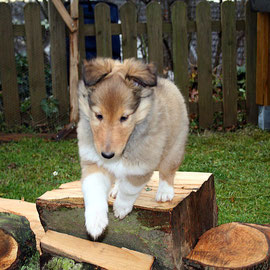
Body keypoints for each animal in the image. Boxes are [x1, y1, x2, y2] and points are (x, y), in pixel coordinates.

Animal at [77, 57, 189, 238]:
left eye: (124, 117)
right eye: (98, 115)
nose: (107, 155)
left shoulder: (140, 165)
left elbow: (129, 188)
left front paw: (121, 208)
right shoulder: (93, 163)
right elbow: (94, 190)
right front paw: (95, 223)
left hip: (174, 147)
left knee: (167, 171)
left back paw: (165, 192)